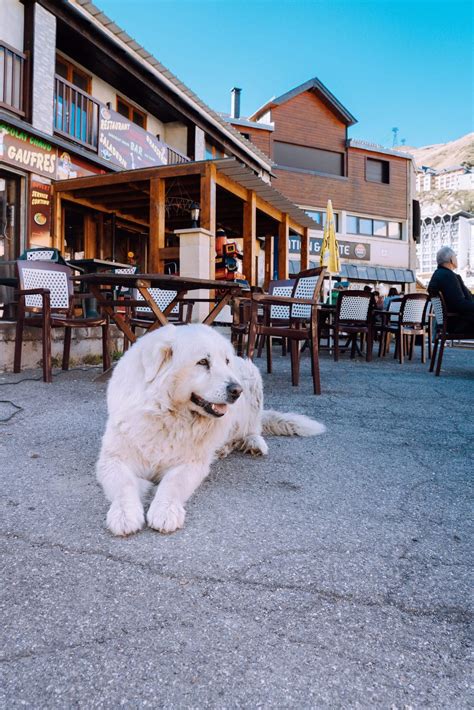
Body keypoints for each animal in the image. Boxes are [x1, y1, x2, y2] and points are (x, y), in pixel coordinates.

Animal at [96, 326, 326, 536]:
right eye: (202, 362)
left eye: (226, 361)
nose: (237, 390)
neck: (167, 415)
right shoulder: (113, 458)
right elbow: (124, 484)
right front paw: (124, 515)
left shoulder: (191, 463)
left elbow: (172, 483)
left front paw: (165, 511)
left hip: (253, 380)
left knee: (253, 428)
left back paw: (252, 443)